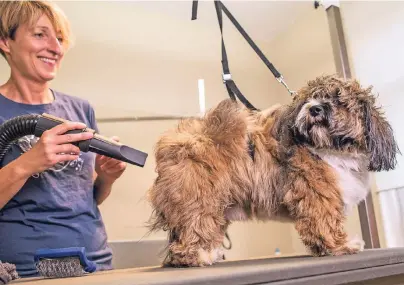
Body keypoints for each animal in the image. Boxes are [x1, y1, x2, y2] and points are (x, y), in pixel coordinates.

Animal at [148, 75, 398, 266]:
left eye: (338, 100)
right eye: (309, 99)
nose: (315, 108)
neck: (330, 149)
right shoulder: (317, 193)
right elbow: (324, 223)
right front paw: (342, 245)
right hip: (198, 198)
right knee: (193, 229)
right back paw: (199, 256)